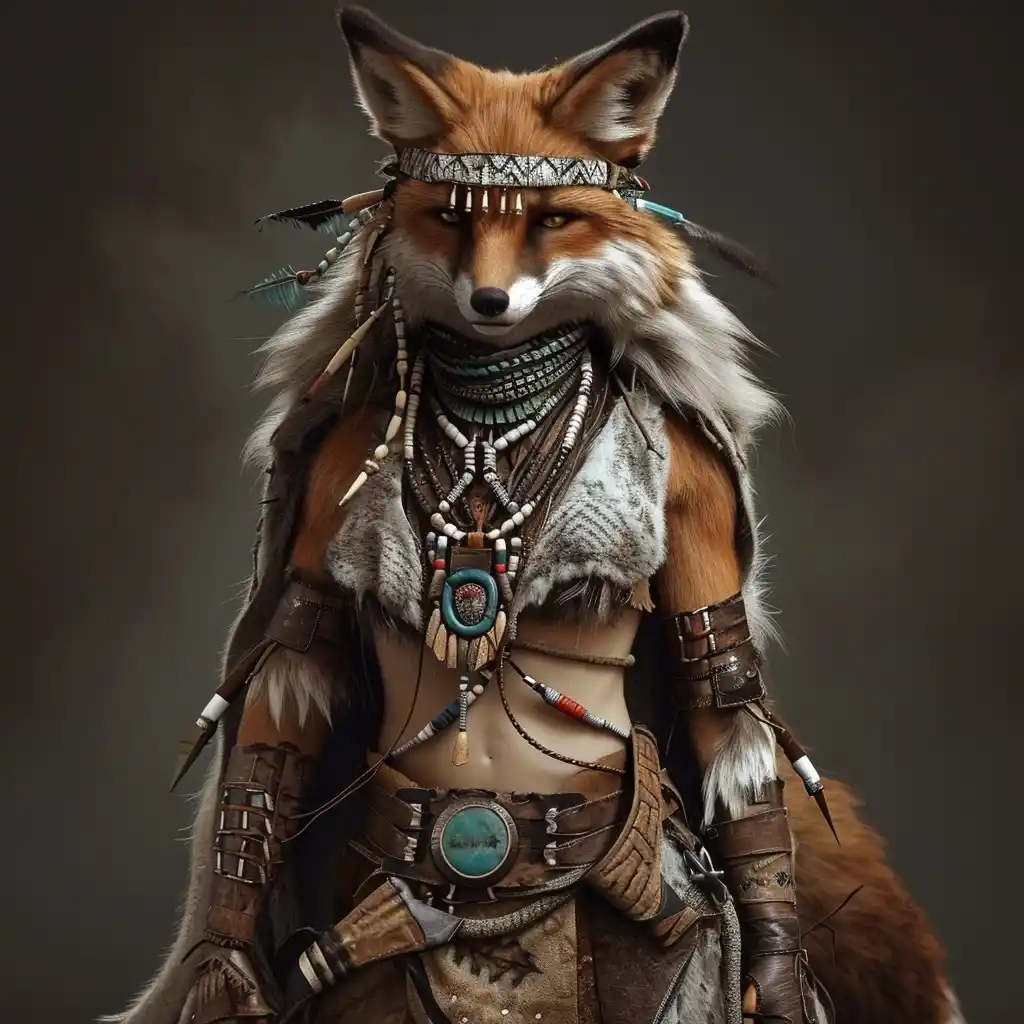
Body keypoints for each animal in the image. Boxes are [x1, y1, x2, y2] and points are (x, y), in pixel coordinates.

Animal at [112, 7, 964, 1024]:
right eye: (451, 216)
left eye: (552, 219)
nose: (489, 299)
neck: (491, 416)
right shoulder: (337, 456)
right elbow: (293, 673)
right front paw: (224, 963)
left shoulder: (696, 480)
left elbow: (718, 686)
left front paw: (779, 975)